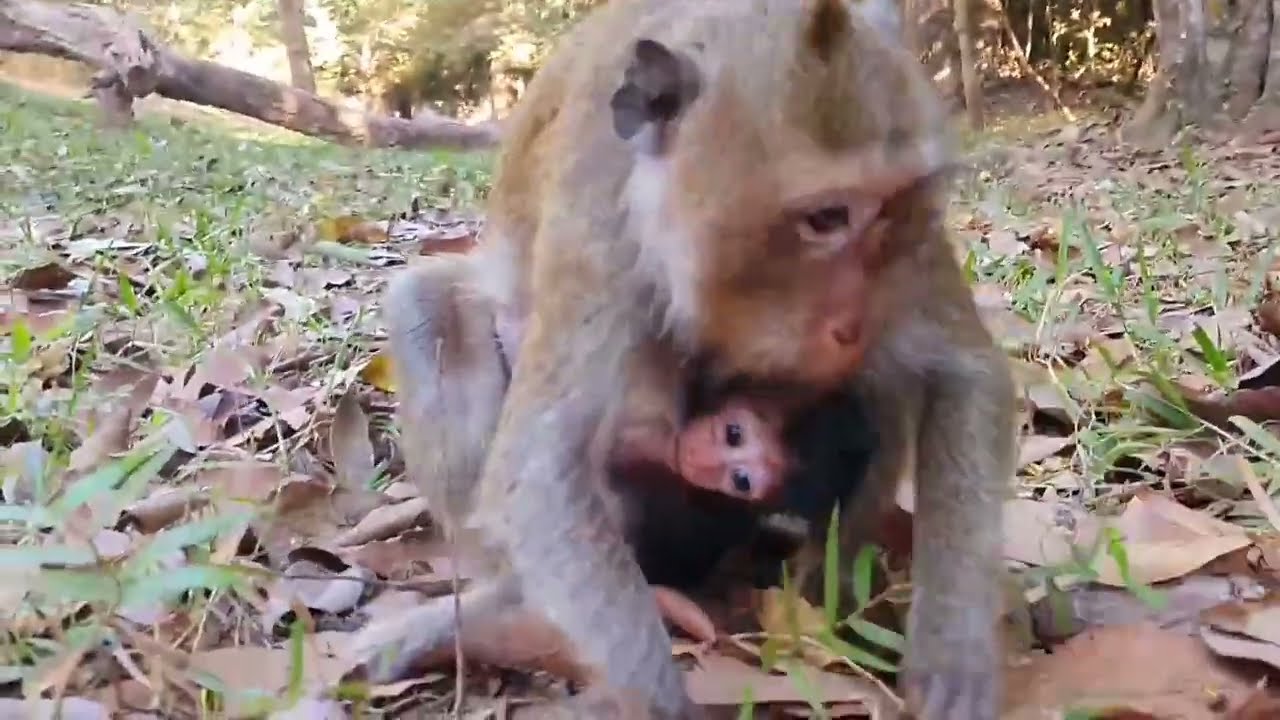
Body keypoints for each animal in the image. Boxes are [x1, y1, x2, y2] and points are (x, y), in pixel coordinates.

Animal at [372, 0, 1015, 717]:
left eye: (895, 209)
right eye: (826, 218)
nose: (852, 324)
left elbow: (964, 374)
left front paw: (954, 656)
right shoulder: (599, 229)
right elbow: (536, 472)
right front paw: (657, 699)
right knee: (425, 307)